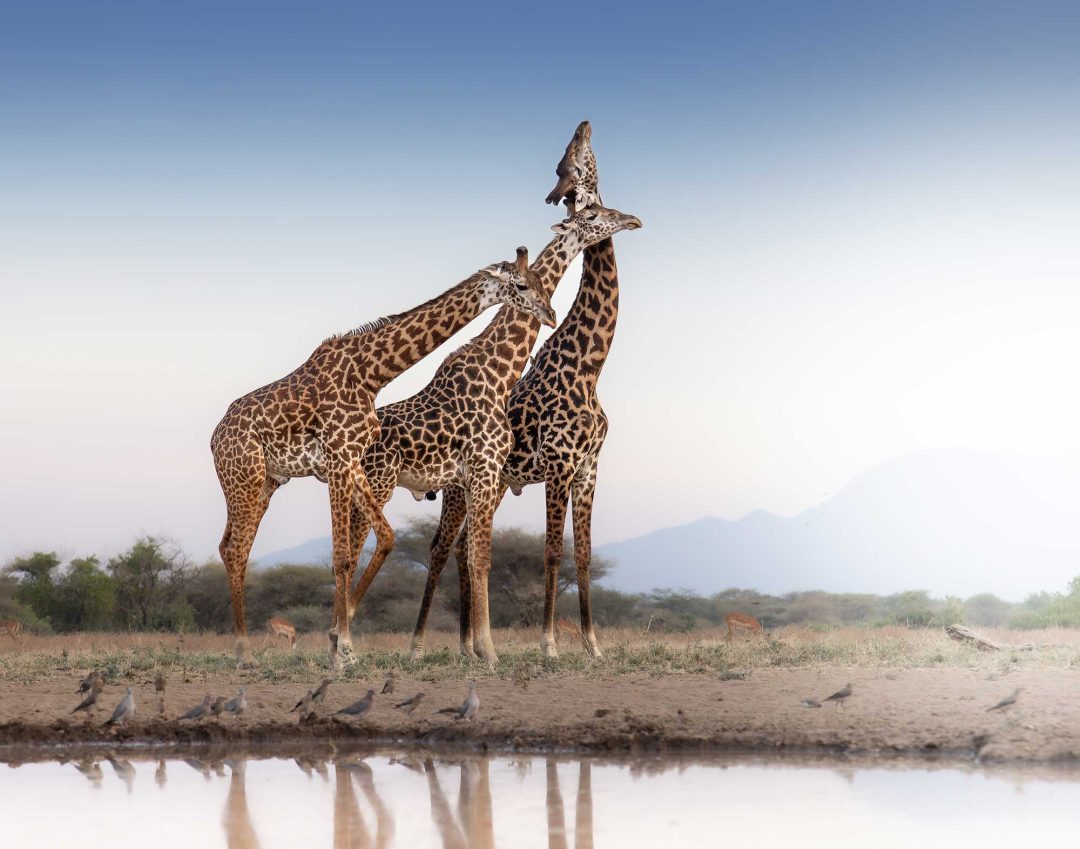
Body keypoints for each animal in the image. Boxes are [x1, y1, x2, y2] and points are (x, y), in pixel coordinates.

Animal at [210, 249, 557, 666]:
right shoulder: (337, 457)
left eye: (540, 282)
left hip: (265, 482)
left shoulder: (352, 459)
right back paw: (244, 654)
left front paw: (342, 642)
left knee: (232, 547)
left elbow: (386, 537)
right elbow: (342, 555)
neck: (371, 373)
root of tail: (215, 437)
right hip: (243, 477)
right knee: (236, 550)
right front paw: (343, 650)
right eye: (521, 285)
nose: (551, 314)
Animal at [410, 125, 632, 660]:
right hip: (460, 487)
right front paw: (549, 644)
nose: (635, 219)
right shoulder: (559, 464)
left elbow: (584, 554)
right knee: (443, 547)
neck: (588, 368)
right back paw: (425, 644)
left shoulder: (589, 467)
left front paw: (594, 645)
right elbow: (552, 553)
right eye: (566, 160)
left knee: (466, 547)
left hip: (485, 487)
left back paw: (469, 645)